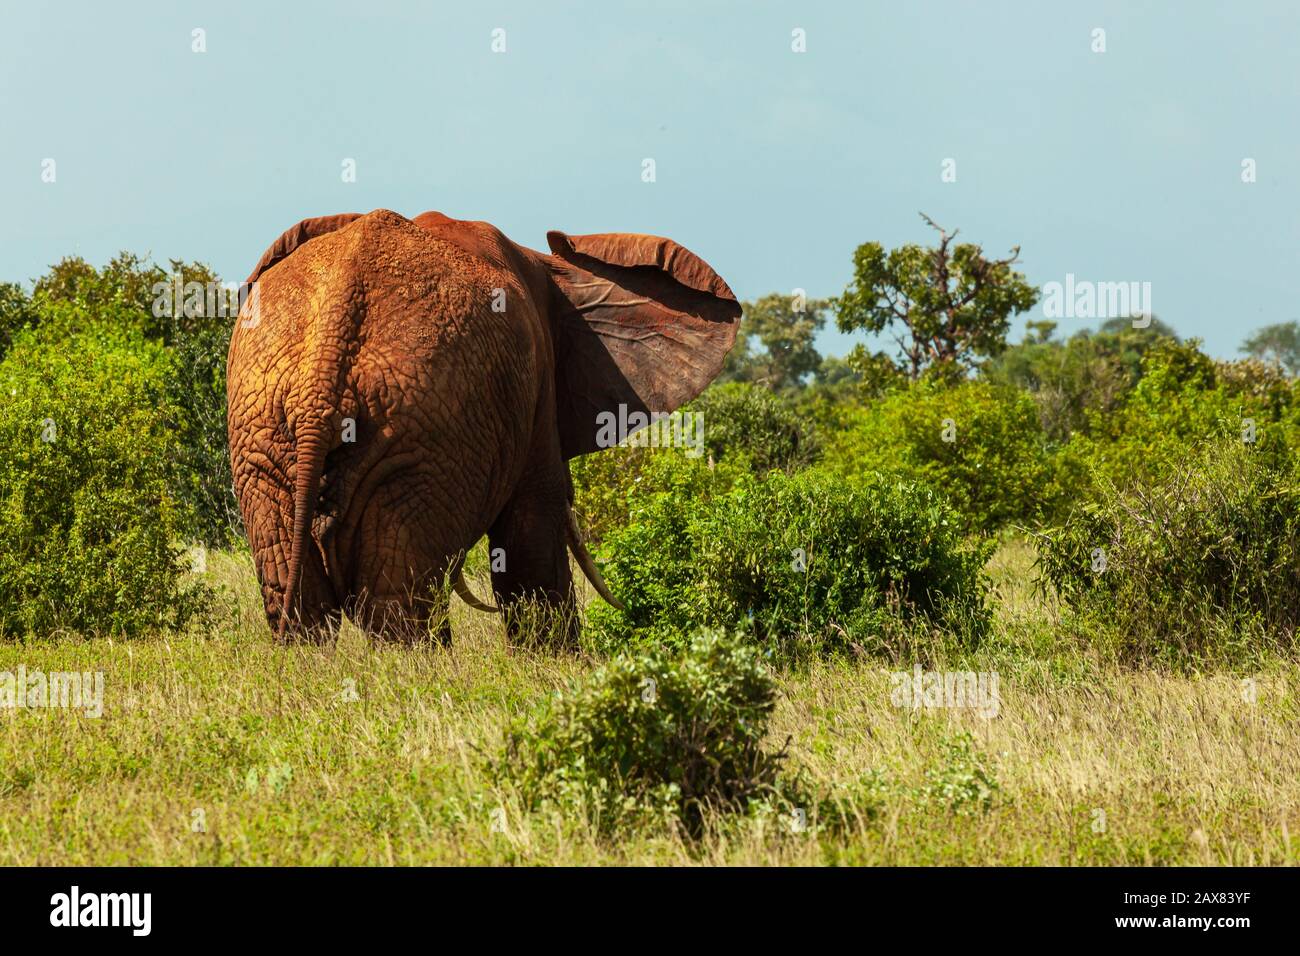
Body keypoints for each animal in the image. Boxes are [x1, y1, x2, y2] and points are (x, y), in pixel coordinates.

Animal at [224, 208, 743, 642]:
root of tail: (333, 330)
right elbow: (531, 546)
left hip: (268, 428)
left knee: (302, 601)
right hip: (420, 429)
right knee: (396, 600)